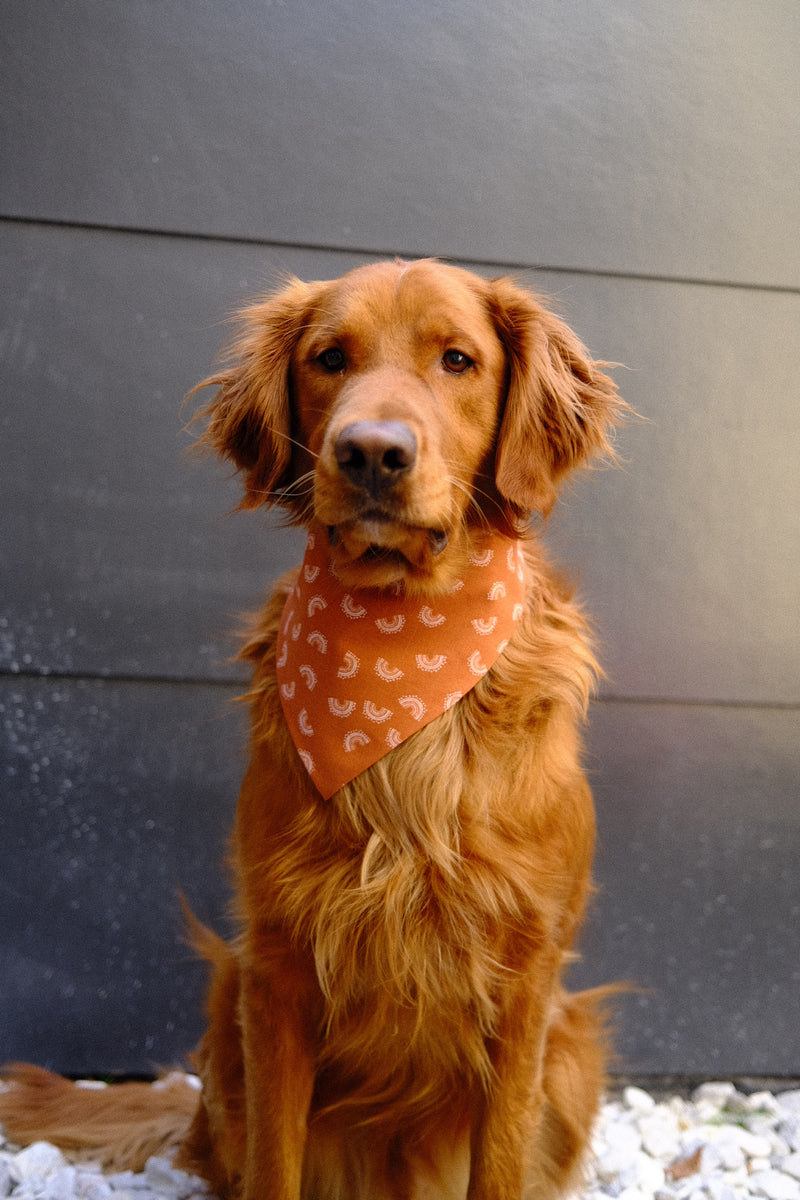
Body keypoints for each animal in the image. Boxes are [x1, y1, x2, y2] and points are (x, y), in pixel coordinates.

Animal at [0, 262, 623, 1200]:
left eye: (458, 360)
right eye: (330, 358)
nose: (371, 452)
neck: (398, 660)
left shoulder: (526, 973)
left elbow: (501, 1161)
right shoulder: (278, 965)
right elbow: (272, 1162)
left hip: (573, 1044)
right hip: (227, 1003)